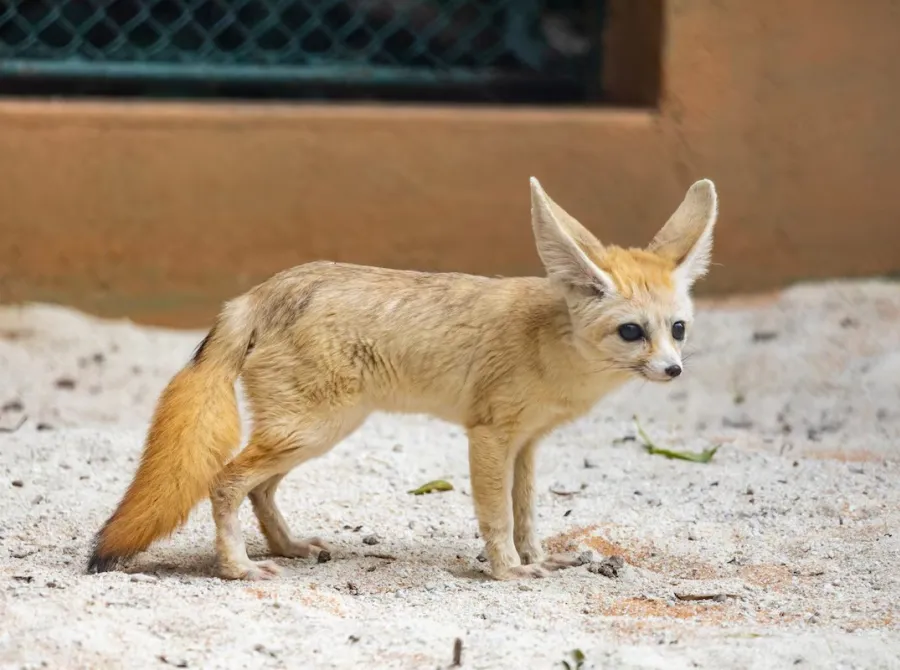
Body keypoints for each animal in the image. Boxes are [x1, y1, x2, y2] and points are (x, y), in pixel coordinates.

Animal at [87, 176, 718, 581]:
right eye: (632, 332)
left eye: (678, 329)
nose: (673, 369)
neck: (554, 341)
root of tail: (258, 292)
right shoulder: (489, 437)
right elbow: (496, 516)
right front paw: (509, 571)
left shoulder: (527, 444)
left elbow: (526, 513)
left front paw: (536, 558)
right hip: (311, 430)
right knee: (225, 481)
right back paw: (238, 568)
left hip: (314, 433)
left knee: (259, 488)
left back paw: (288, 547)